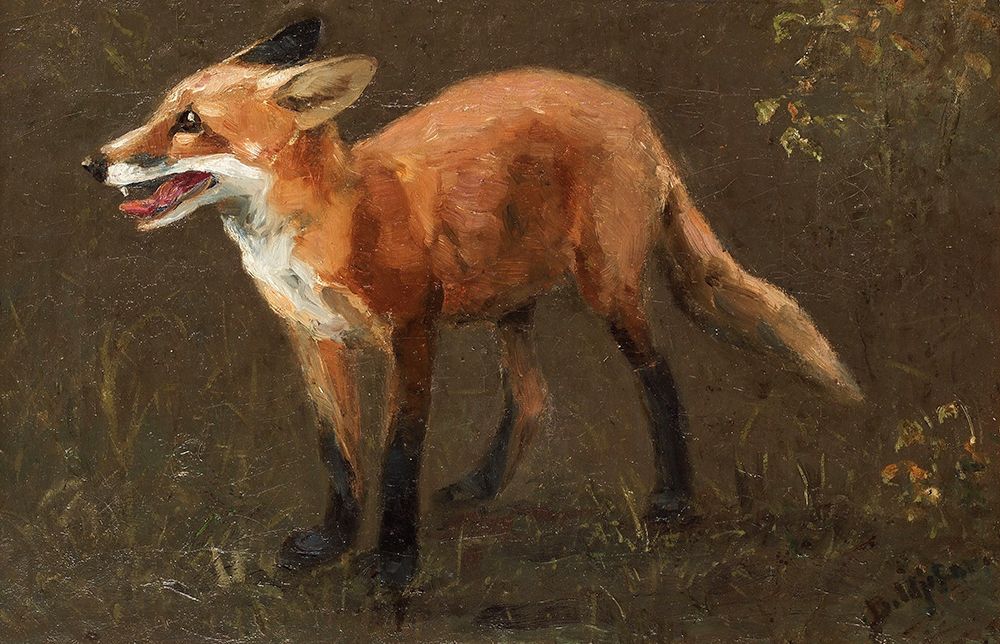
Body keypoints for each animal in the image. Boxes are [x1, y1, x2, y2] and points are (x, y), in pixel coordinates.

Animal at [83, 18, 861, 588]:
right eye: (162, 111)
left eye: (190, 122)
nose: (93, 163)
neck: (328, 224)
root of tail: (631, 110)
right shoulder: (316, 341)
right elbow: (339, 456)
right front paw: (332, 542)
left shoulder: (411, 335)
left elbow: (398, 457)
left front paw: (395, 564)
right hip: (505, 304)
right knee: (534, 398)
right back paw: (483, 487)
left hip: (607, 292)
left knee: (659, 378)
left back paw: (672, 503)